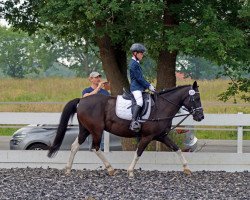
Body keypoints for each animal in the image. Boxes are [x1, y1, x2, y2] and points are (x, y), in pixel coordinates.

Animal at [47, 80, 204, 177]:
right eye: (196, 99)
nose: (201, 117)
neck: (161, 107)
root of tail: (82, 100)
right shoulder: (147, 136)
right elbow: (139, 152)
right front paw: (130, 172)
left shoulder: (161, 135)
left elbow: (176, 148)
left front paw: (187, 169)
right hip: (96, 130)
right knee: (95, 148)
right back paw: (110, 169)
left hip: (85, 130)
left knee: (75, 146)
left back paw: (68, 170)